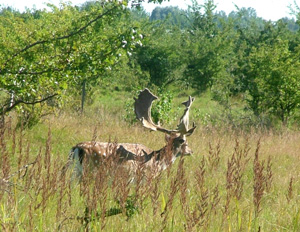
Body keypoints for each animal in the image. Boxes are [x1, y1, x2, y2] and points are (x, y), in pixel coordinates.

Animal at [63, 88, 196, 179]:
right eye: (185, 141)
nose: (191, 151)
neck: (158, 163)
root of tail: (77, 148)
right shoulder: (144, 178)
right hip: (91, 169)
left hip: (75, 170)